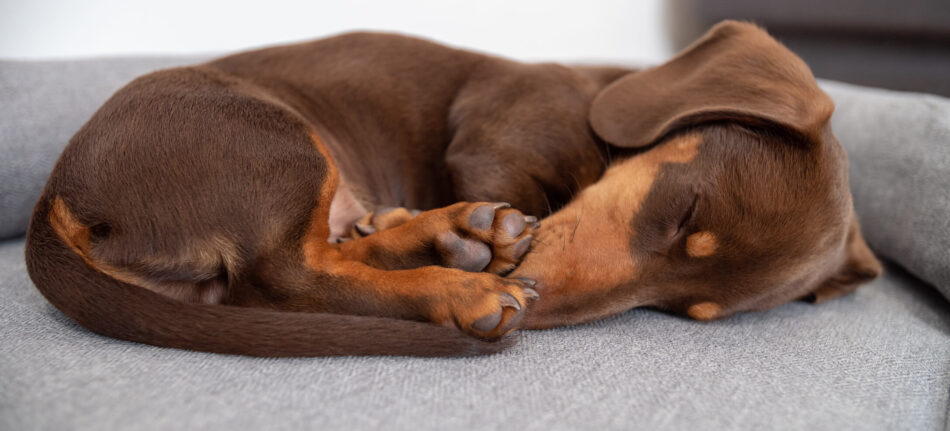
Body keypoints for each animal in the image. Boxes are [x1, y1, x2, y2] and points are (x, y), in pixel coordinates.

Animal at [24, 20, 884, 358]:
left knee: (320, 255)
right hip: (274, 139)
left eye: (683, 309)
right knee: (287, 277)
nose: (535, 298)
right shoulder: (494, 134)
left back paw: (445, 235)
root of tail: (60, 193)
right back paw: (459, 275)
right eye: (684, 210)